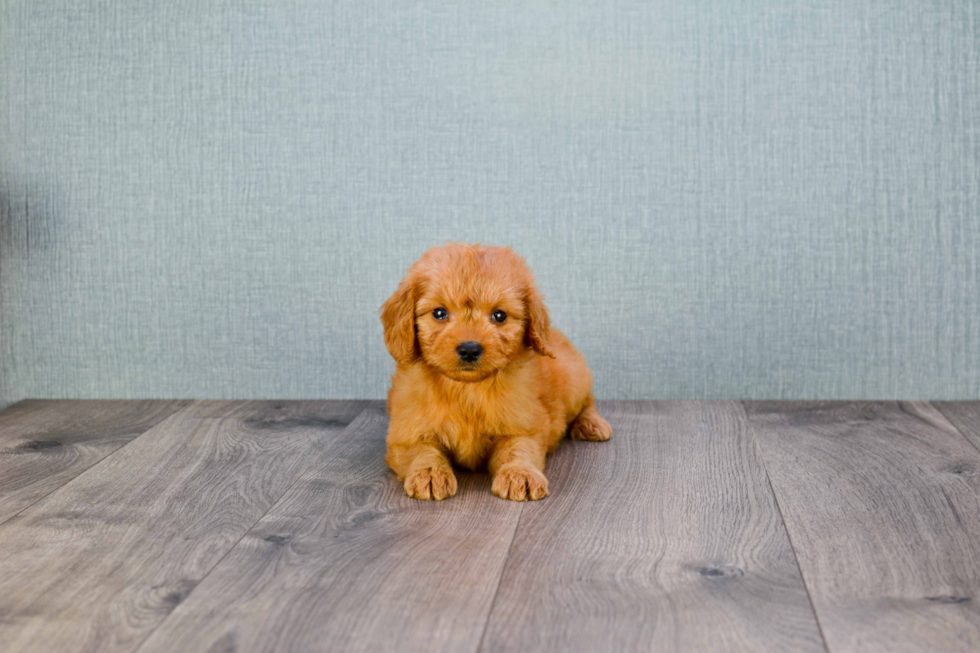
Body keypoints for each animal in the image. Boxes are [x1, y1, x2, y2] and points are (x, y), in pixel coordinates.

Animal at [378, 242, 608, 502]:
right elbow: (422, 451)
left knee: (587, 401)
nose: (469, 349)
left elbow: (517, 450)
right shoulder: (406, 434)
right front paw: (428, 473)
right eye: (439, 313)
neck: (467, 389)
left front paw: (520, 474)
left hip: (575, 379)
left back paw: (591, 423)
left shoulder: (523, 426)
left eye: (499, 315)